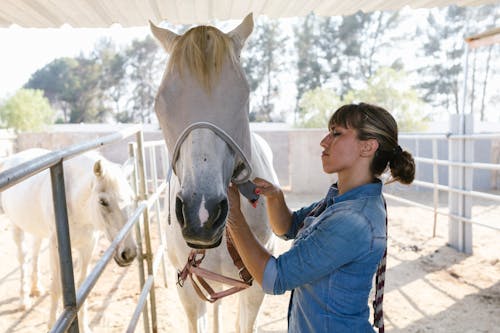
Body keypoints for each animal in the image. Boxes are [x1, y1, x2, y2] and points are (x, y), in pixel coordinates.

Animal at [0, 148, 137, 332]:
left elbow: (82, 285)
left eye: (132, 198)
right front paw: (51, 324)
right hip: (16, 226)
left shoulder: (88, 247)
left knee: (35, 252)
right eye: (103, 201)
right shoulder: (55, 247)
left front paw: (85, 326)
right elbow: (57, 288)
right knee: (23, 258)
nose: (129, 253)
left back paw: (36, 288)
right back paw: (24, 299)